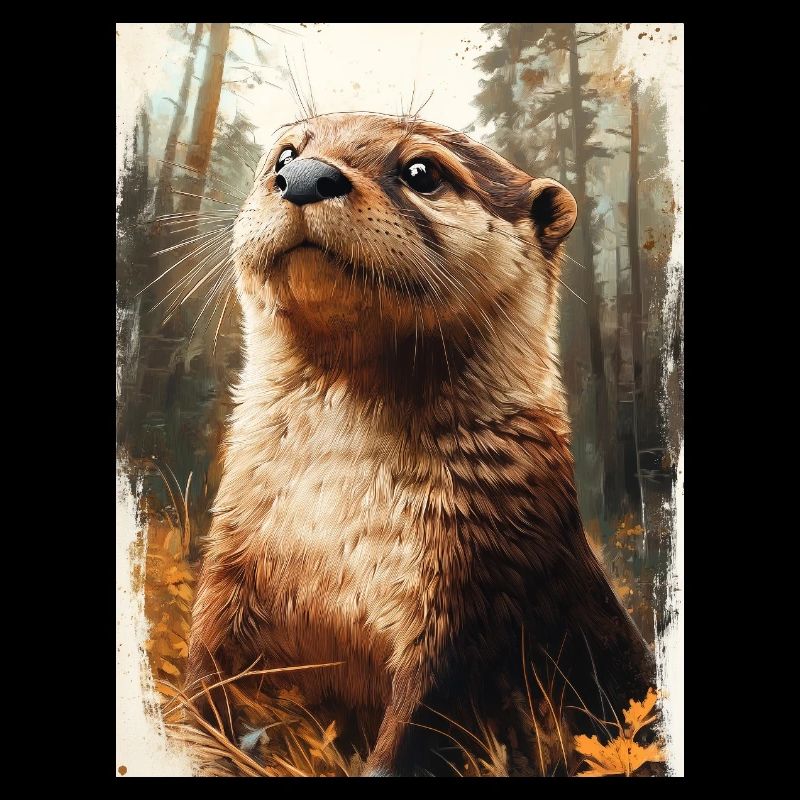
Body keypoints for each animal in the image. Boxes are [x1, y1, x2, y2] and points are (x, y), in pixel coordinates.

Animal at [186, 112, 654, 776]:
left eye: (421, 171)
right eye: (284, 155)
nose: (302, 176)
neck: (330, 523)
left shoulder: (472, 598)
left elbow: (421, 728)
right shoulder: (231, 559)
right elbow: (201, 680)